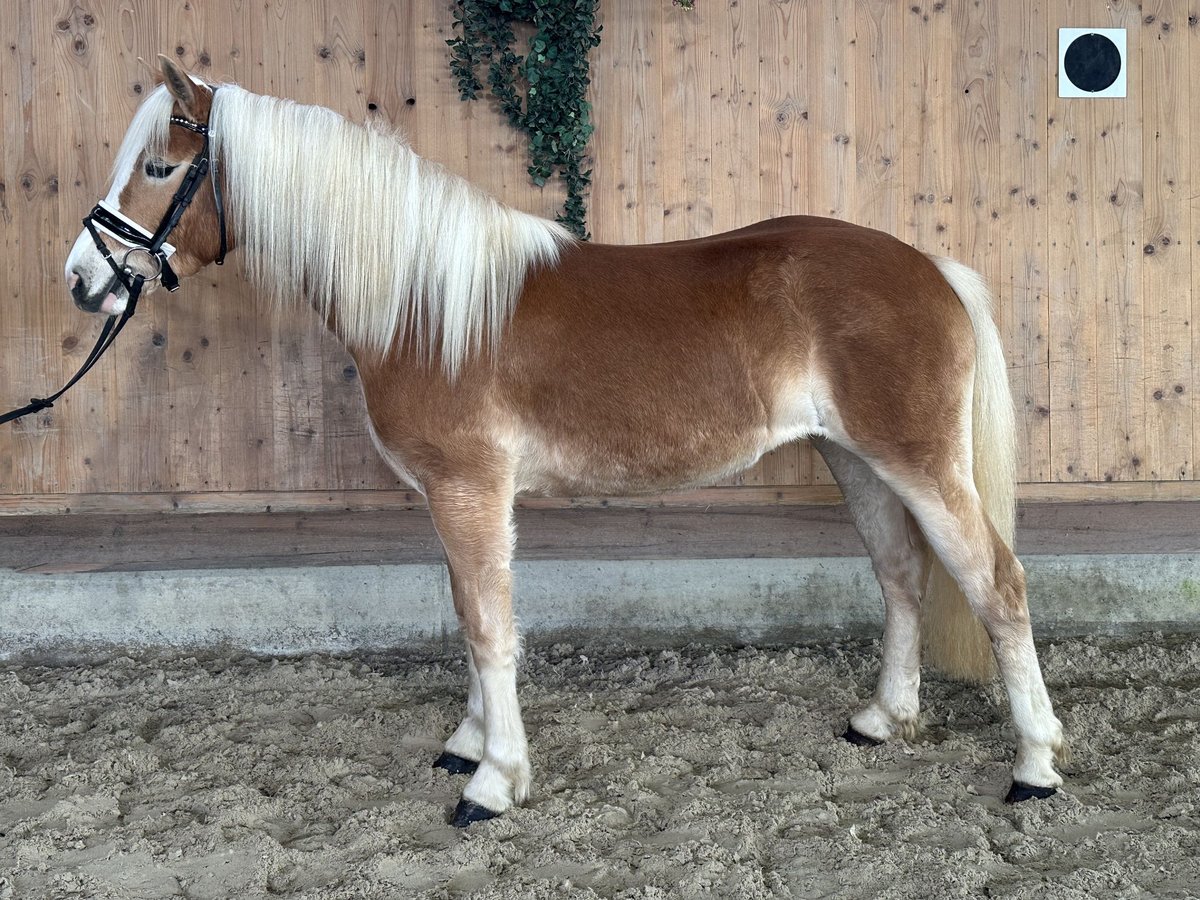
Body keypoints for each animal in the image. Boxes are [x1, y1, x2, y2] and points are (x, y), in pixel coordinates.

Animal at [63, 58, 1070, 830]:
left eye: (159, 167)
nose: (81, 281)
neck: (427, 302)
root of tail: (930, 266)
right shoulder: (451, 497)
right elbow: (466, 617)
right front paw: (468, 743)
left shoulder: (470, 489)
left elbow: (488, 626)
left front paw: (492, 781)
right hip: (855, 460)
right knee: (902, 575)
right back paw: (883, 719)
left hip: (920, 463)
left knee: (995, 582)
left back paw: (1034, 765)